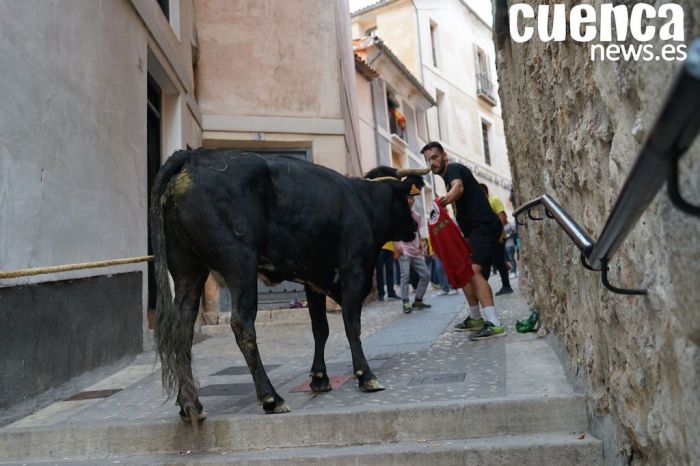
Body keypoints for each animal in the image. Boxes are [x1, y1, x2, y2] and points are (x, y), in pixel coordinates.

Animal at [149, 150, 426, 422]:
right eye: (409, 201)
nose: (415, 227)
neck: (364, 203)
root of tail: (191, 157)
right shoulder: (354, 271)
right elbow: (352, 325)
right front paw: (365, 376)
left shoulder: (314, 279)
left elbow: (320, 328)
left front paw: (319, 378)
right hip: (240, 263)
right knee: (242, 325)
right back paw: (271, 398)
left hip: (187, 268)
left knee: (182, 329)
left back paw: (190, 404)